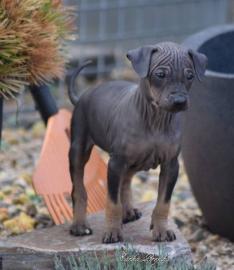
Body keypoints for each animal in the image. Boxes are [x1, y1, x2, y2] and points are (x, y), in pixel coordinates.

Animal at [67, 42, 207, 245]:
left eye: (189, 76)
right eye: (160, 75)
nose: (179, 101)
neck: (156, 120)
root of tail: (83, 96)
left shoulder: (171, 165)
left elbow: (163, 202)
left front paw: (161, 230)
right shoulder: (115, 162)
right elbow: (112, 202)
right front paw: (112, 231)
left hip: (134, 162)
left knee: (125, 182)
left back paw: (128, 212)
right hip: (79, 148)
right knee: (79, 188)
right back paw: (79, 225)